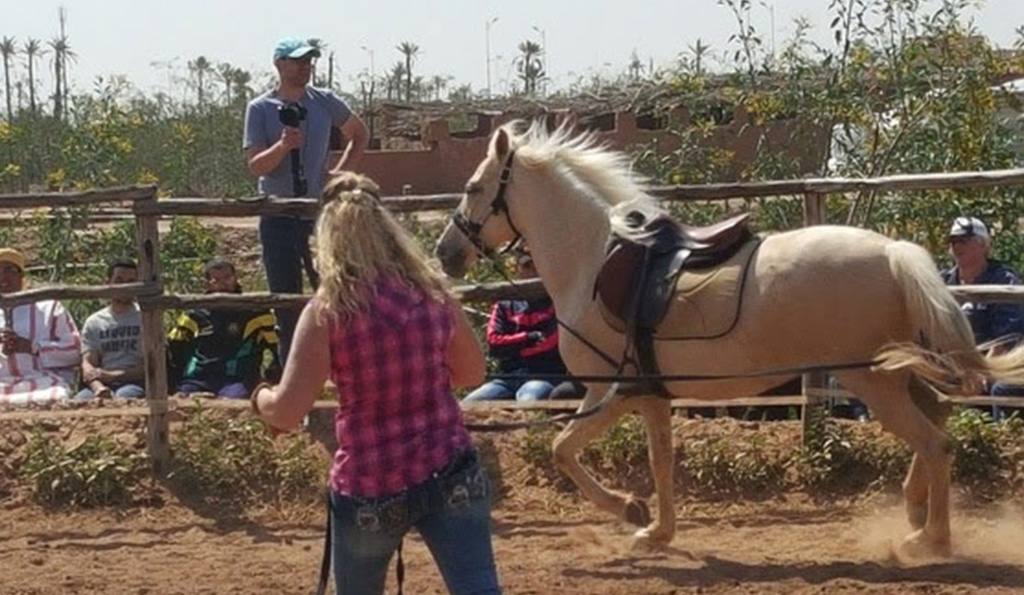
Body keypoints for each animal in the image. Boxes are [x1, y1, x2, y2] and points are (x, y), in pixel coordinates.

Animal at [436, 120, 1024, 557]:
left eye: (473, 188)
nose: (445, 252)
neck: (594, 263)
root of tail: (893, 252)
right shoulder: (651, 394)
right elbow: (660, 461)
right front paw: (657, 530)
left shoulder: (613, 390)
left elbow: (562, 450)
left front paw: (631, 510)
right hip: (894, 371)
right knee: (939, 416)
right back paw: (914, 510)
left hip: (871, 383)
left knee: (936, 441)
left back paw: (928, 539)